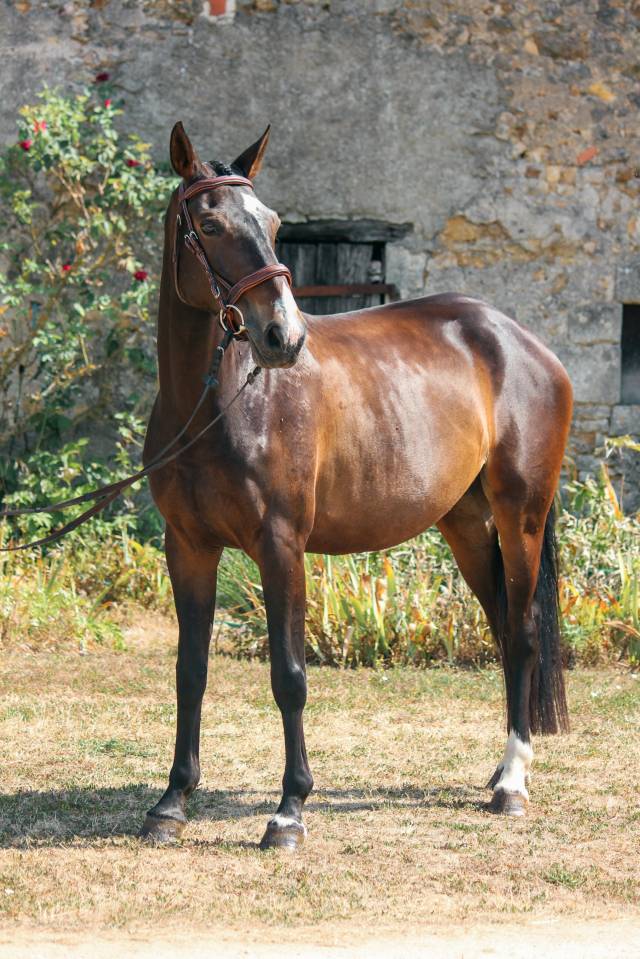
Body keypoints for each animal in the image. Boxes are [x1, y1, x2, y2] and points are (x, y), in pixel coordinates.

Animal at [140, 122, 573, 851]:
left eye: (273, 222)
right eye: (210, 223)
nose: (283, 336)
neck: (218, 405)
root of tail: (521, 341)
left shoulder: (281, 546)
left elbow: (289, 676)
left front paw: (288, 811)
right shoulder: (188, 547)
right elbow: (188, 671)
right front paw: (172, 801)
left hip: (522, 518)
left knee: (524, 632)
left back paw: (512, 783)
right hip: (464, 524)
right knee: (502, 629)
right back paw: (499, 771)